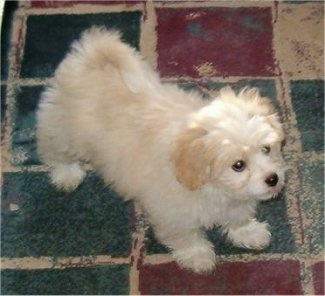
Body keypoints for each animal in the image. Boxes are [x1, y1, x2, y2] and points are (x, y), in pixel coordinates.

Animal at [36, 27, 284, 272]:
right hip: (62, 130)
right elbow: (186, 237)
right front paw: (198, 257)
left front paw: (249, 233)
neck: (213, 188)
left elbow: (238, 217)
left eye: (266, 149)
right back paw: (66, 175)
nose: (273, 178)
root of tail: (91, 56)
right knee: (53, 151)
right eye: (238, 165)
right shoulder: (173, 214)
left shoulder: (235, 203)